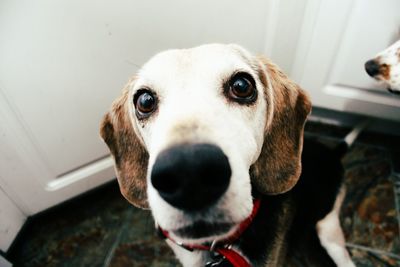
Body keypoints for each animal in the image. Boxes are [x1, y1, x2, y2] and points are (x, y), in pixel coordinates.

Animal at [99, 45, 354, 266]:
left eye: (241, 85)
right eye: (145, 101)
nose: (189, 174)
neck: (218, 246)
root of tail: (332, 151)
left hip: (330, 230)